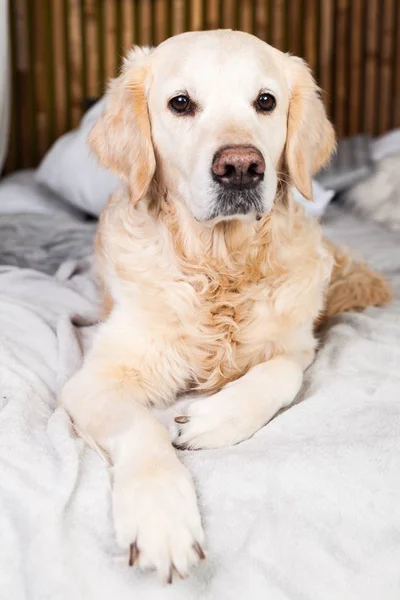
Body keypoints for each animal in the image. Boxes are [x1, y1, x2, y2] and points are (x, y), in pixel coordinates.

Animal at [59, 30, 390, 584]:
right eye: (180, 103)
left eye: (265, 101)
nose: (240, 168)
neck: (221, 266)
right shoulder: (94, 380)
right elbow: (141, 427)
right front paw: (160, 517)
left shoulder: (295, 345)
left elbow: (281, 375)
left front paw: (215, 419)